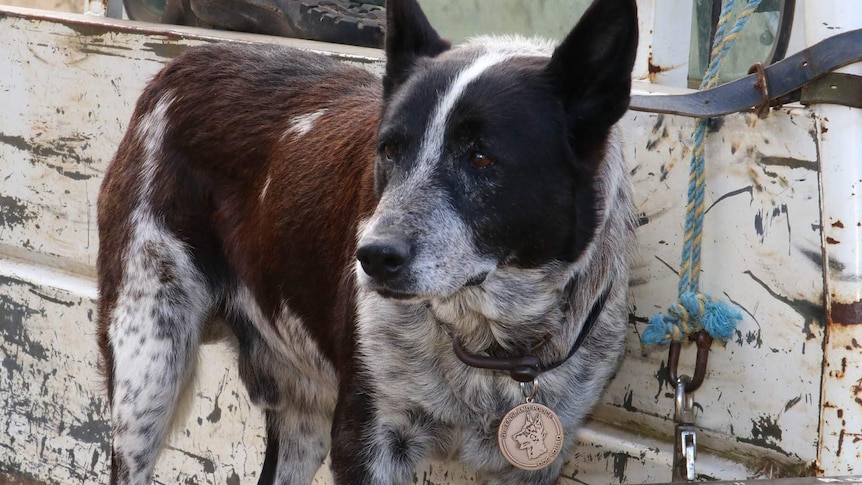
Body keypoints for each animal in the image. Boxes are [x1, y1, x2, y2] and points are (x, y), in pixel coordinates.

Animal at [98, 0, 636, 482]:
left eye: (482, 158)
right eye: (390, 150)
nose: (373, 257)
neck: (490, 340)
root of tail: (180, 65)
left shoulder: (536, 463)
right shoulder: (366, 439)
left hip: (300, 418)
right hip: (147, 364)